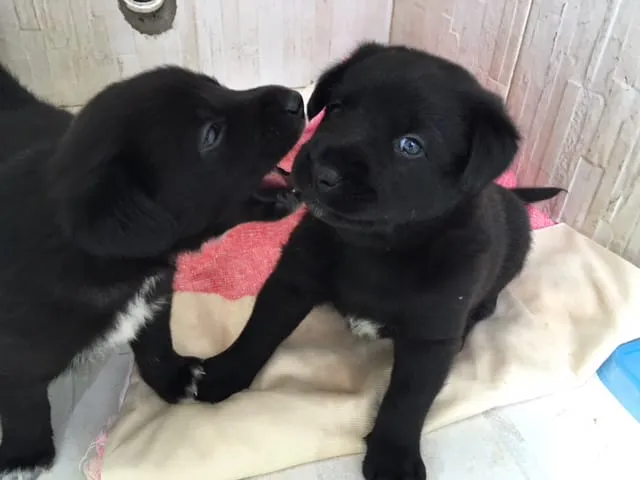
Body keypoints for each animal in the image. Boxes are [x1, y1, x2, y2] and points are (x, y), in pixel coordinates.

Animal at [0, 65, 304, 478]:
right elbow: (23, 399)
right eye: (211, 134)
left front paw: (175, 380)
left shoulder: (156, 297)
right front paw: (25, 454)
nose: (297, 100)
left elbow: (156, 344)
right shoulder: (16, 347)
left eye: (218, 85)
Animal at [195, 43, 564, 478]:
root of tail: (514, 196)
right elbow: (258, 332)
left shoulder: (430, 336)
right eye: (337, 109)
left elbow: (407, 399)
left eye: (410, 145)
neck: (377, 249)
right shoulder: (291, 281)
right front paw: (223, 374)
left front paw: (393, 455)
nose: (323, 172)